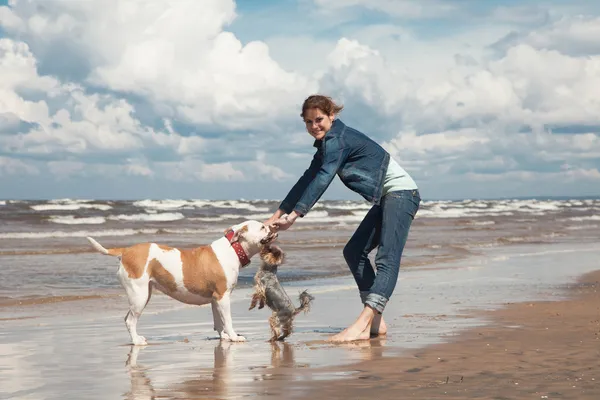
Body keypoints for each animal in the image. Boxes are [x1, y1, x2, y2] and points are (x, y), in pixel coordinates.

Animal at [86, 220, 276, 346]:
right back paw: (136, 341)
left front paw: (224, 337)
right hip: (139, 295)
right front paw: (234, 336)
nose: (273, 226)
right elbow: (227, 320)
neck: (234, 249)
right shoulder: (223, 297)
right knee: (130, 320)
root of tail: (126, 251)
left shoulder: (215, 299)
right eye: (262, 227)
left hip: (143, 294)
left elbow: (219, 321)